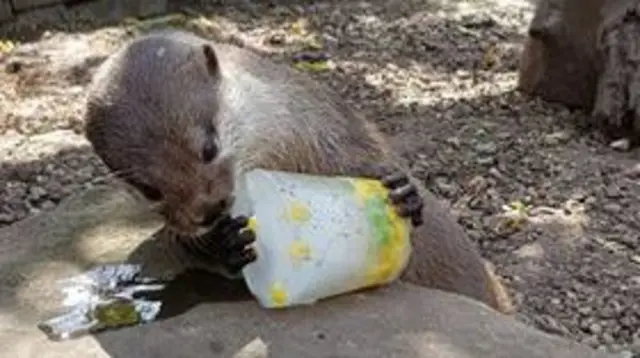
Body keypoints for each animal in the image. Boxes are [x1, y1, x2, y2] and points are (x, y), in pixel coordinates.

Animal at [85, 29, 516, 314]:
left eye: (209, 147)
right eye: (148, 189)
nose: (209, 209)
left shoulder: (334, 132)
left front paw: (403, 195)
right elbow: (182, 244)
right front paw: (224, 243)